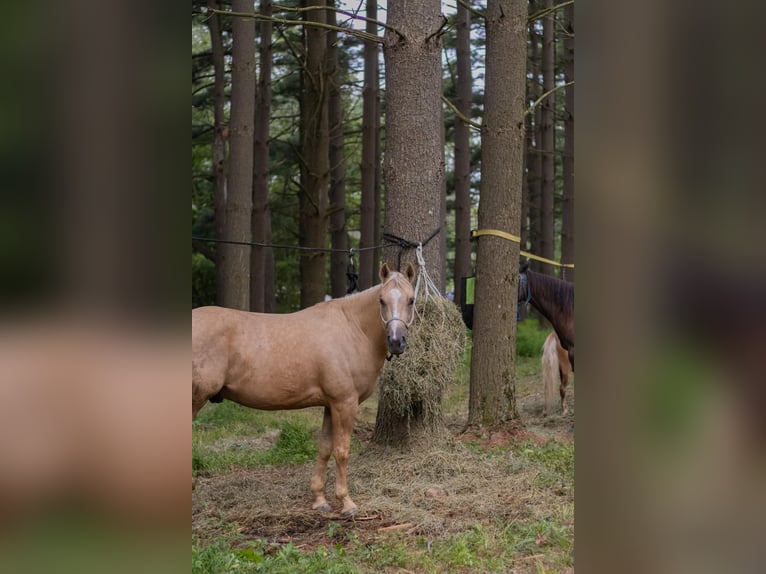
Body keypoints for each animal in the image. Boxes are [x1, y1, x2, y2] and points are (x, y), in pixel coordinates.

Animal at [192, 262, 417, 516]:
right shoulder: (345, 403)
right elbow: (342, 450)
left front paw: (320, 499)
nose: (396, 341)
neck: (353, 329)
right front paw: (346, 502)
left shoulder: (331, 404)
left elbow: (325, 448)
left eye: (411, 300)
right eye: (381, 300)